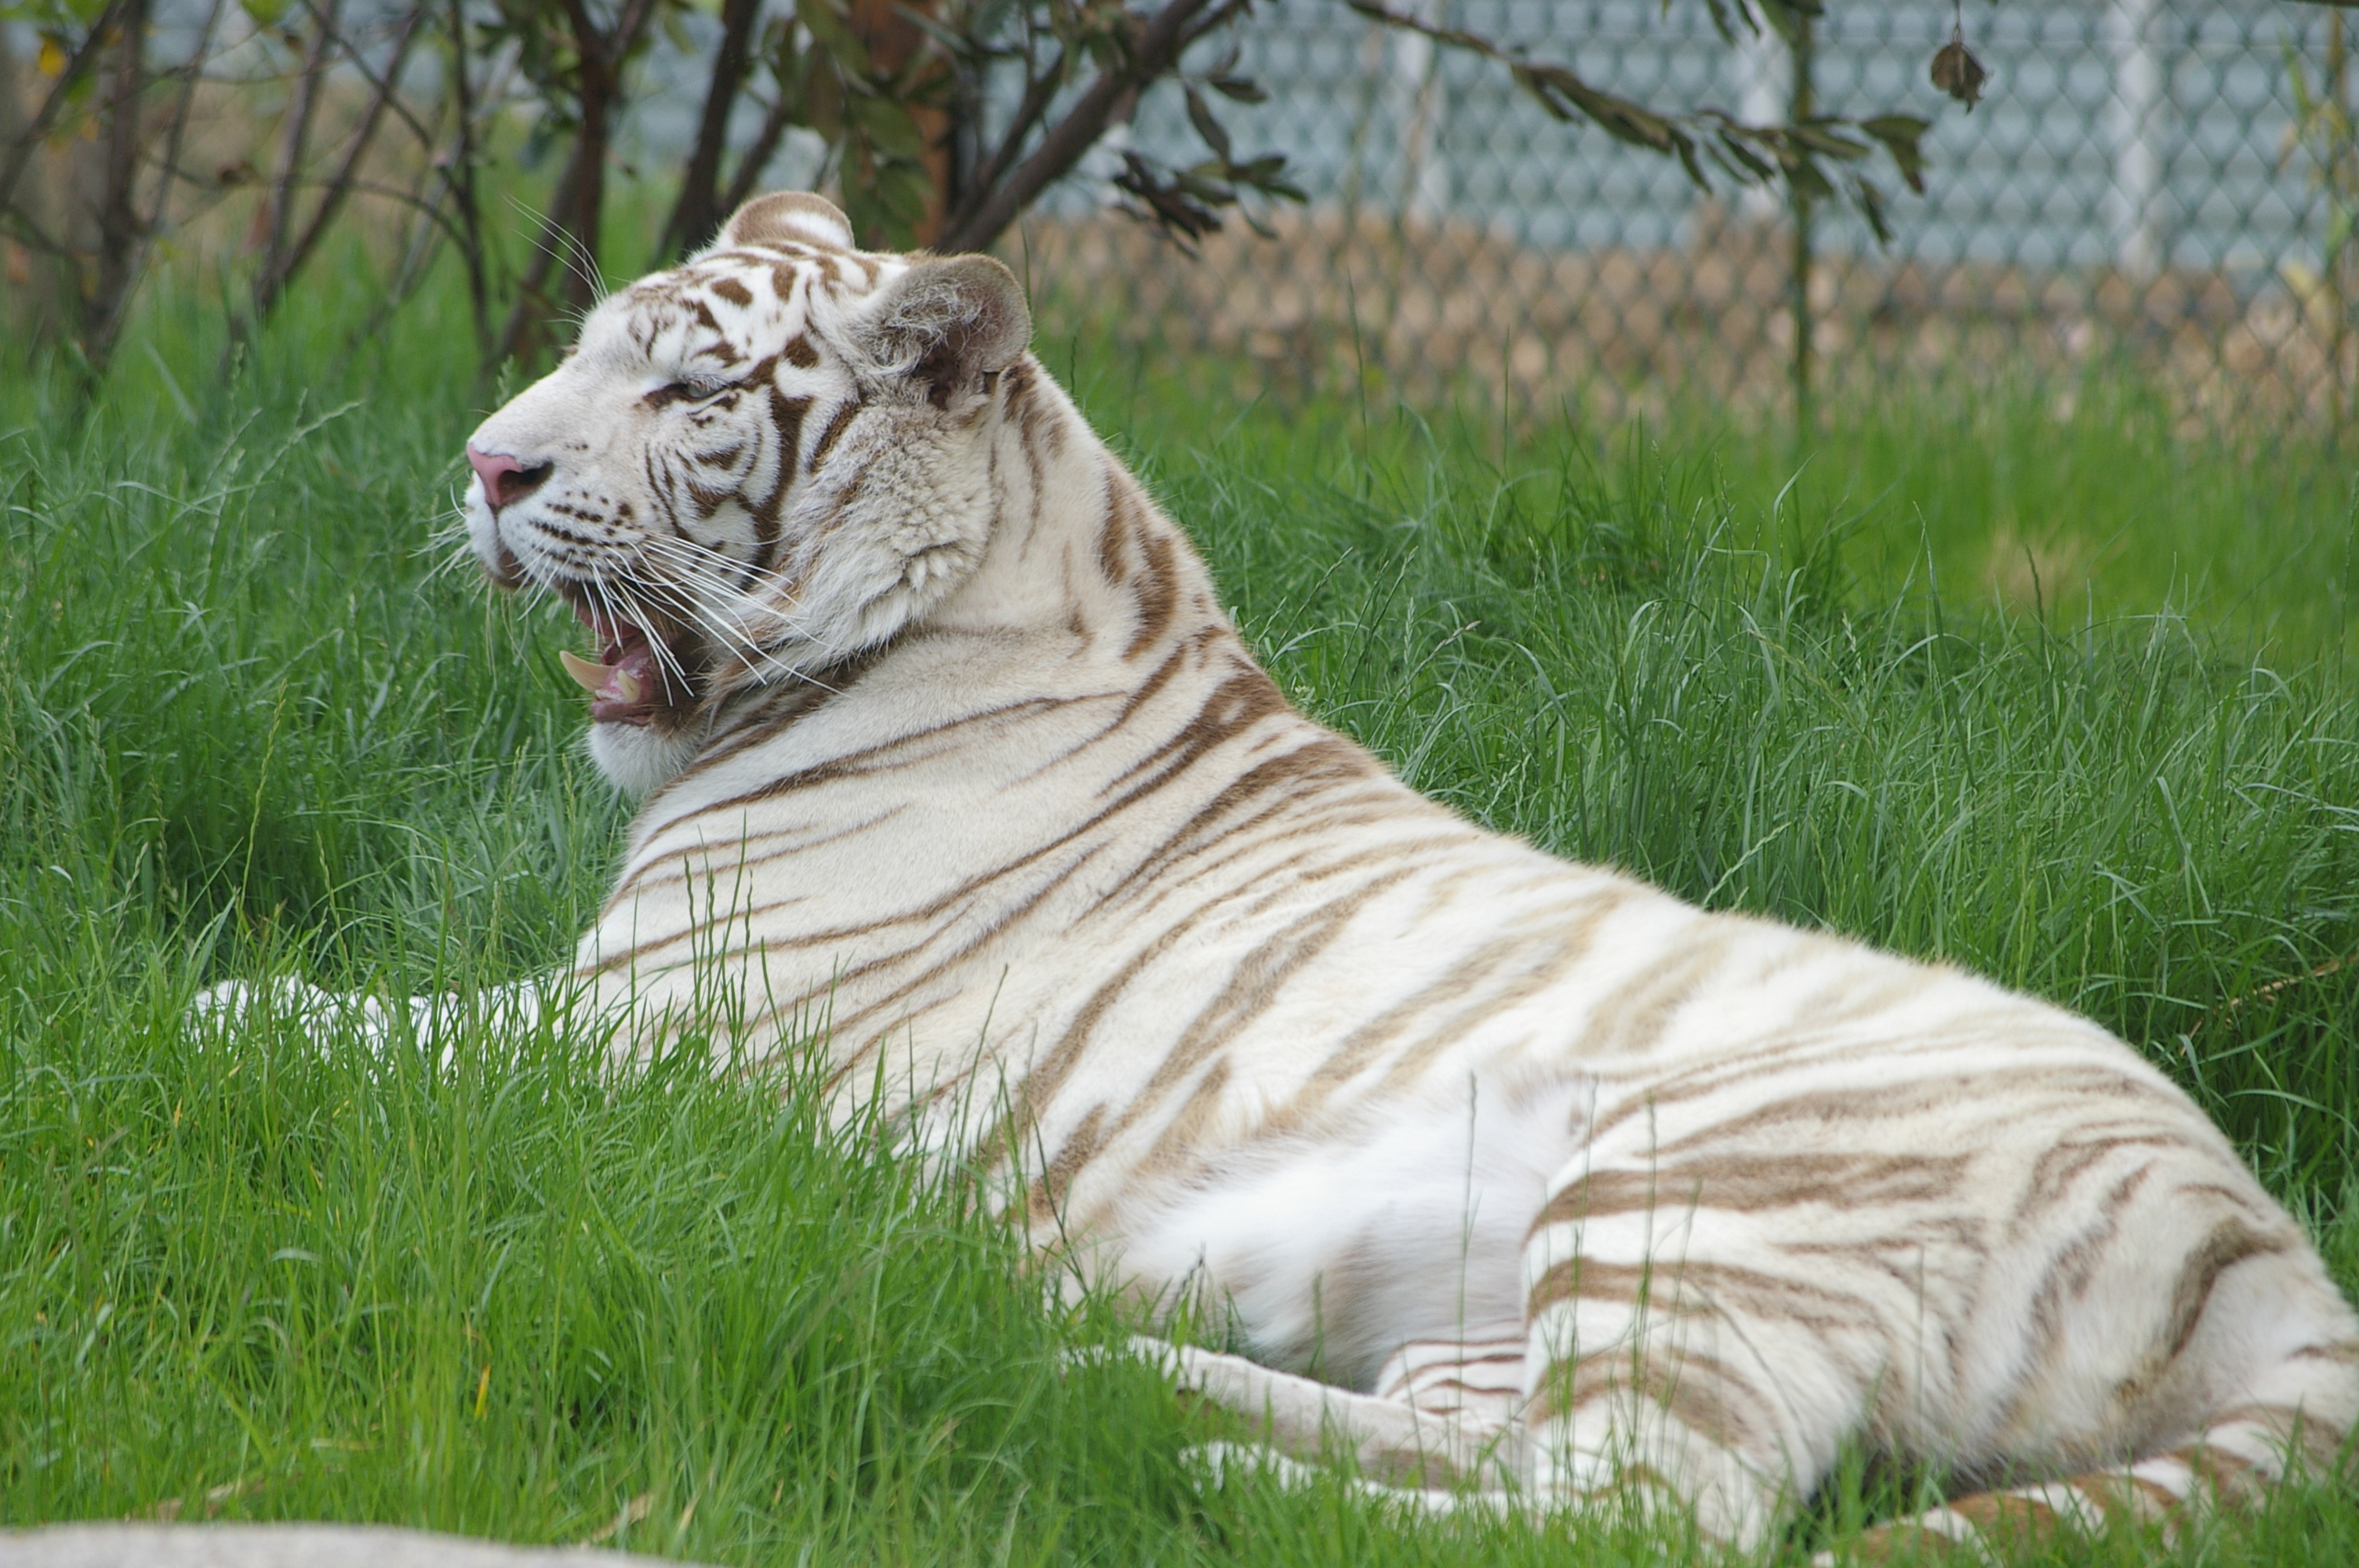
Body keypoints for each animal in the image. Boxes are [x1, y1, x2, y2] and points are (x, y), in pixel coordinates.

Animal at [212, 192, 2349, 1555]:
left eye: (681, 393)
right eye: (580, 358)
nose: (481, 464)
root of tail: (2267, 1237)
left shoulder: (643, 1036)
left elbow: (332, 1022)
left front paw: (188, 999)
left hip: (1707, 1191)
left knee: (1634, 1515)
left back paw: (1194, 1484)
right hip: (1495, 1295)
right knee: (1474, 1446)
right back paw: (1104, 1378)